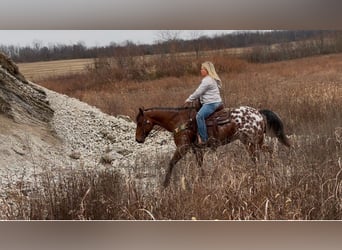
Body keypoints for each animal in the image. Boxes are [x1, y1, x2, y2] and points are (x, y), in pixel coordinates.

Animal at [135, 100, 290, 188]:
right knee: (260, 155)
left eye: (141, 122)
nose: (138, 140)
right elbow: (200, 166)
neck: (179, 121)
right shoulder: (196, 150)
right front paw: (203, 180)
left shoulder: (182, 148)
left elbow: (171, 163)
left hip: (255, 141)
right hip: (249, 142)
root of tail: (258, 113)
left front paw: (165, 184)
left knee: (265, 153)